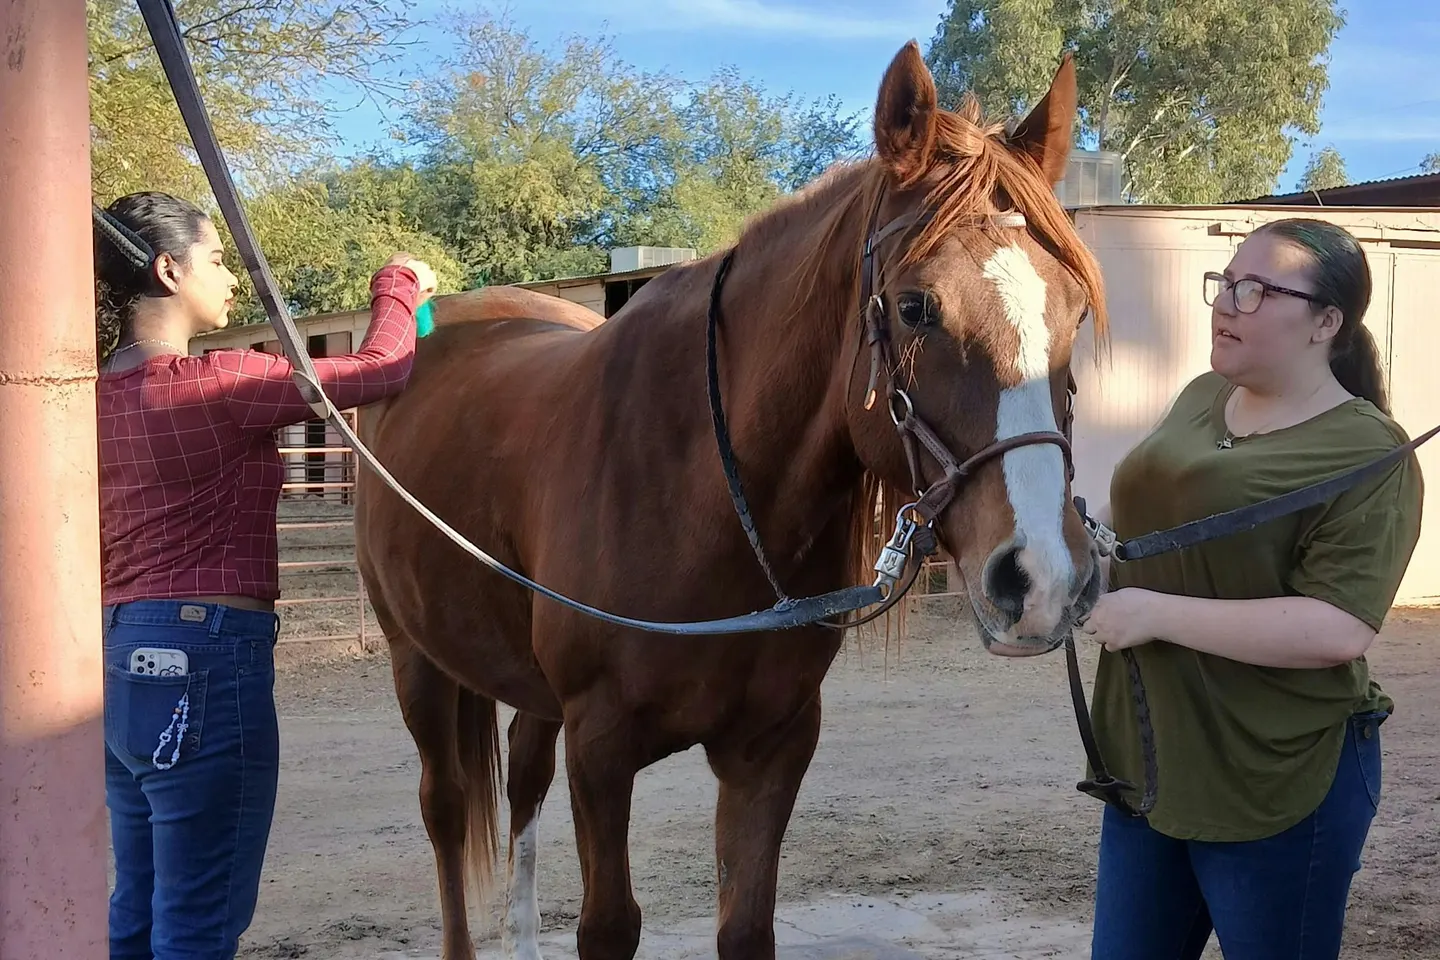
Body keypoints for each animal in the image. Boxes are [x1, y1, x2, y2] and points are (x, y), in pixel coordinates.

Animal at [353, 41, 1108, 960]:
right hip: (416, 660)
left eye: (1075, 311)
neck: (707, 500)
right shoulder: (600, 749)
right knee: (448, 810)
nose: (1044, 579)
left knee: (522, 785)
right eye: (916, 306)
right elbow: (608, 924)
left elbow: (746, 924)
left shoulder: (770, 747)